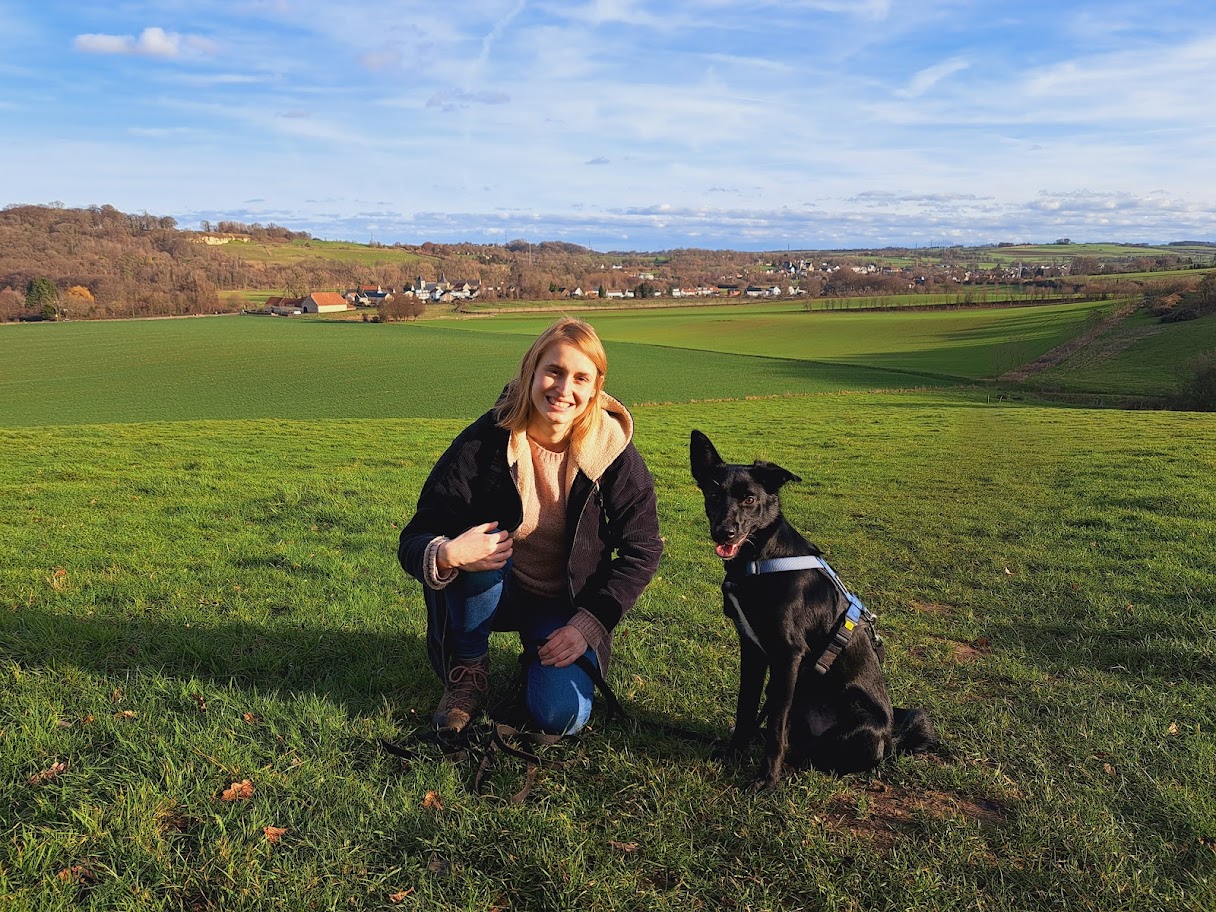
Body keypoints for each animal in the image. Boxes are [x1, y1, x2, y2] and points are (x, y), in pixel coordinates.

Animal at [690, 432, 933, 787]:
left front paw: (767, 779)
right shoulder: (752, 648)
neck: (760, 559)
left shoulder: (788, 655)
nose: (725, 533)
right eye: (712, 494)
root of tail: (892, 740)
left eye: (749, 499)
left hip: (859, 727)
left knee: (822, 756)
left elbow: (776, 727)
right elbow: (746, 709)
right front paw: (734, 753)